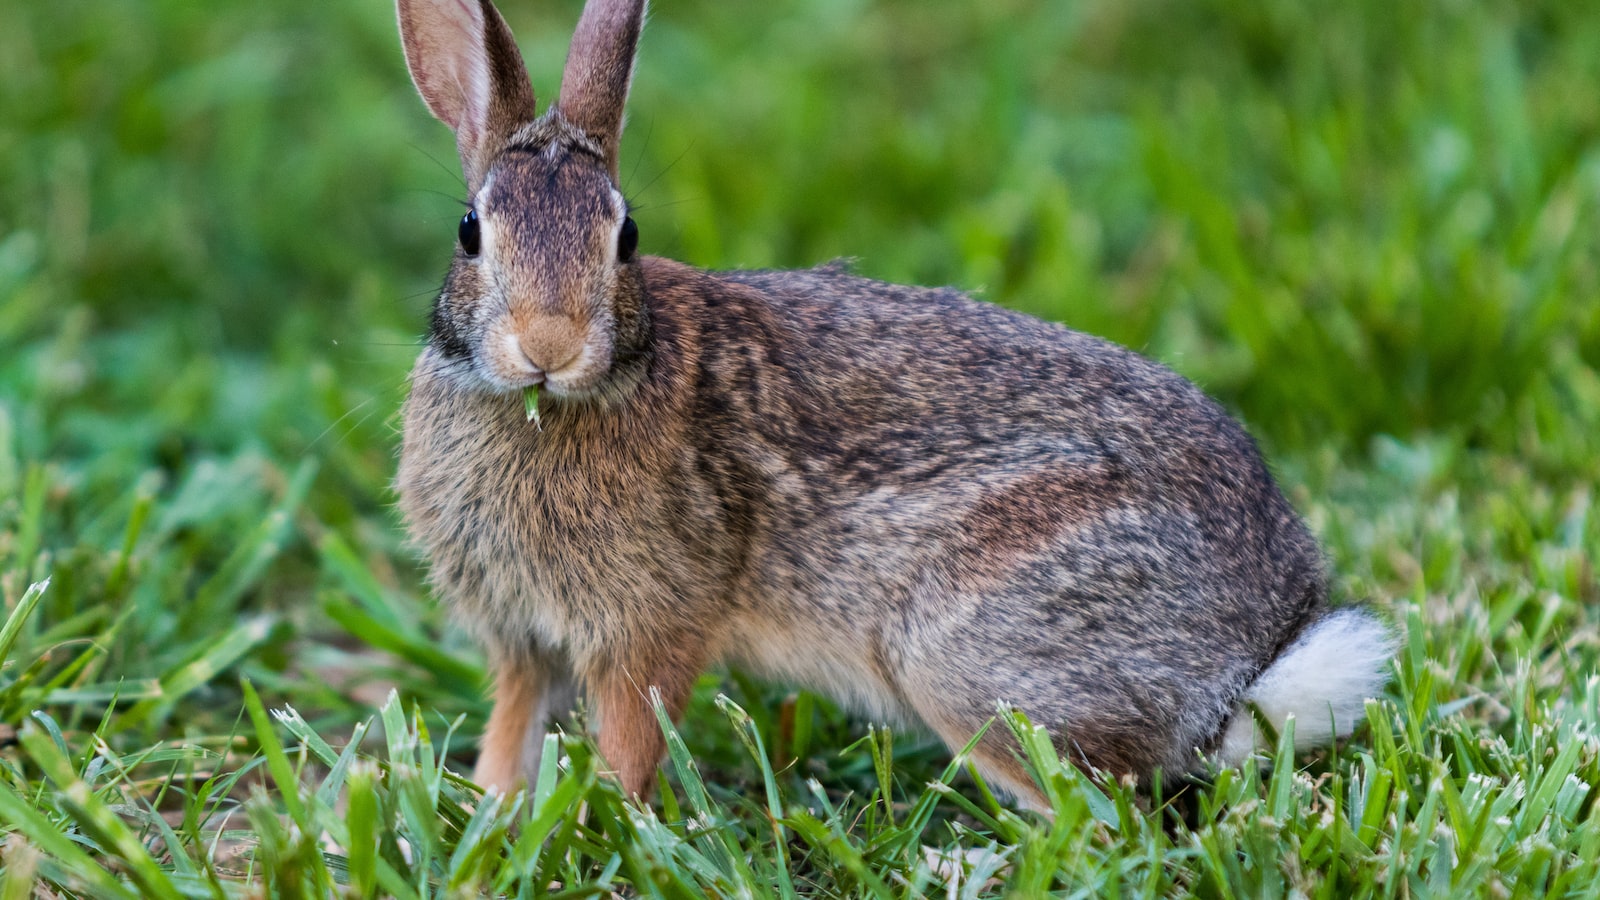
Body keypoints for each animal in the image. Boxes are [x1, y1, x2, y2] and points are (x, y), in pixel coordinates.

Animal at [393, 0, 1395, 807]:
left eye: (626, 236)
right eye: (470, 232)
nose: (548, 347)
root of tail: (1255, 657)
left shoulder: (648, 632)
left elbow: (633, 744)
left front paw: (602, 820)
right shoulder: (520, 644)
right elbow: (513, 730)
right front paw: (495, 813)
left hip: (960, 659)